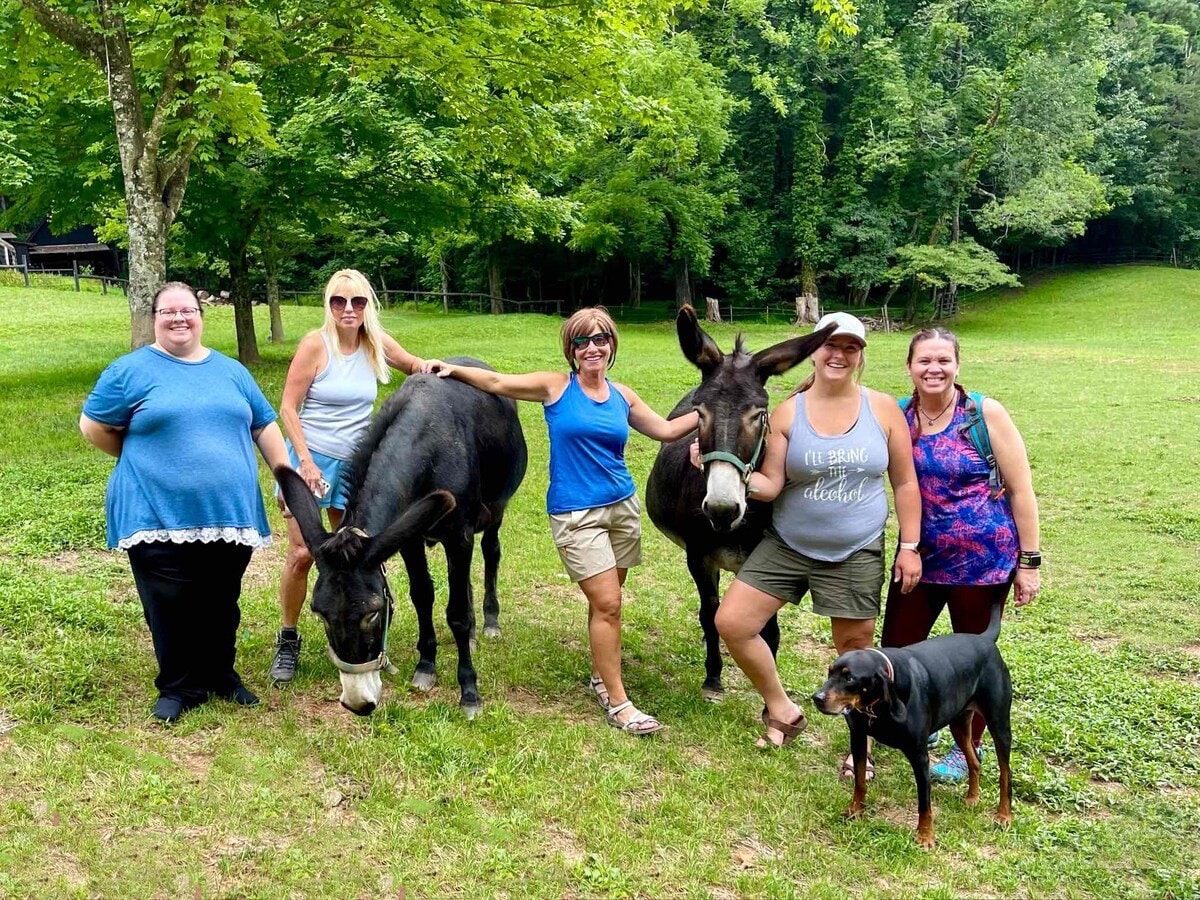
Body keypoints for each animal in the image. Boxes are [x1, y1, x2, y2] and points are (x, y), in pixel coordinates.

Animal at [816, 602, 1012, 849]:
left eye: (850, 678)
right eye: (829, 672)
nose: (817, 698)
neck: (878, 706)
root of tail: (985, 640)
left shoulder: (920, 755)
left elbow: (924, 802)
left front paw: (925, 836)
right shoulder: (859, 739)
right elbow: (860, 782)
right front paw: (855, 811)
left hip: (999, 724)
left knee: (1006, 773)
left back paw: (1004, 815)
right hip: (958, 723)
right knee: (975, 761)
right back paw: (972, 798)